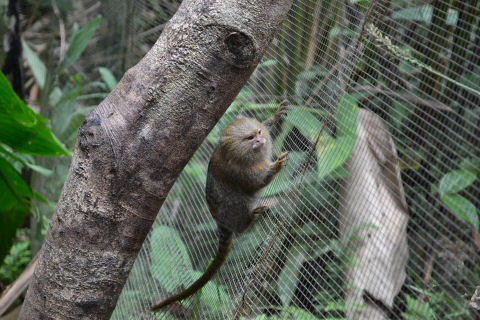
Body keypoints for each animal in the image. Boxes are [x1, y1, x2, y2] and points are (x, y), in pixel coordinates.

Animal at [153, 101, 288, 312]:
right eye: (250, 138)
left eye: (258, 132)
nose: (260, 139)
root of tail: (221, 222)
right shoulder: (241, 172)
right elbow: (256, 183)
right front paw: (275, 167)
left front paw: (274, 117)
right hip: (231, 210)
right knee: (239, 205)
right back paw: (248, 222)